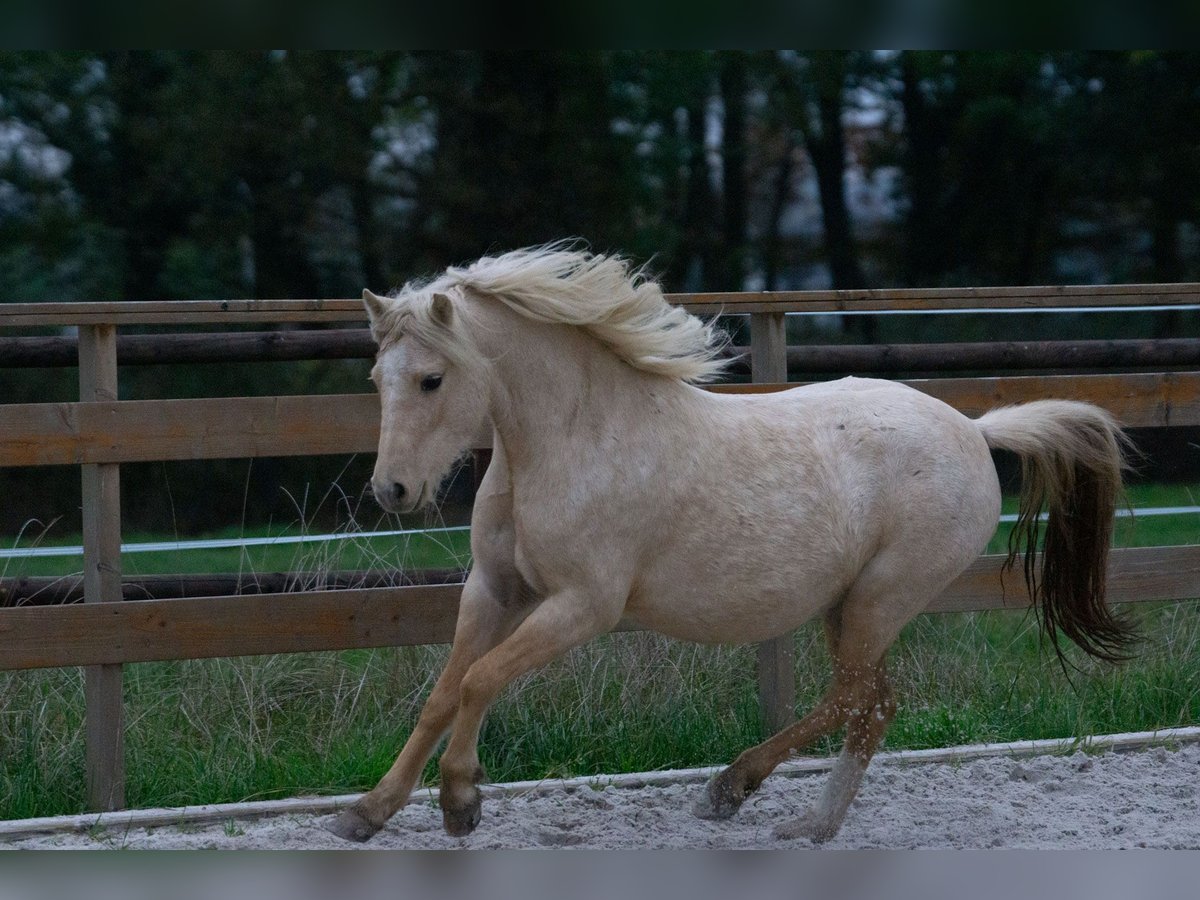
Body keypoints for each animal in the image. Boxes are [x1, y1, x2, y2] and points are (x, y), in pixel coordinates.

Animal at [328, 244, 1132, 844]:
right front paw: (367, 812)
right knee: (871, 704)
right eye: (376, 377)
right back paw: (796, 817)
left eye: (433, 379)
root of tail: (974, 428)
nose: (392, 491)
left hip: (882, 596)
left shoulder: (583, 606)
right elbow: (443, 692)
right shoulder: (495, 589)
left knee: (856, 699)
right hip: (849, 604)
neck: (569, 441)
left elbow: (480, 680)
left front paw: (461, 801)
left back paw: (742, 795)